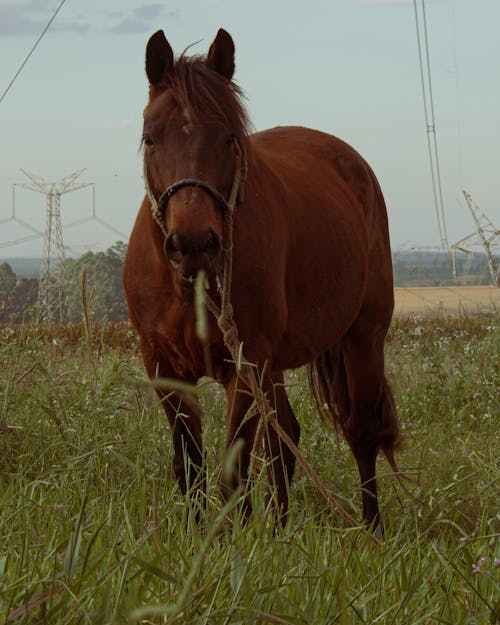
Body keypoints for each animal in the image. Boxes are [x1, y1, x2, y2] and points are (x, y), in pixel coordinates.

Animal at [125, 28, 402, 528]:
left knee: (362, 433)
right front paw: (199, 535)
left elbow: (233, 472)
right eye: (150, 139)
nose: (194, 243)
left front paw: (227, 538)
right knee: (284, 439)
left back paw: (371, 529)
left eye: (230, 139)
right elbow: (189, 466)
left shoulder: (247, 362)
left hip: (364, 336)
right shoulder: (163, 365)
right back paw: (280, 528)